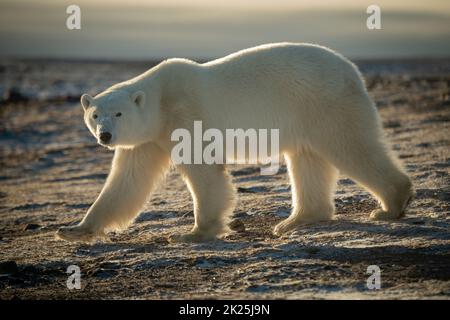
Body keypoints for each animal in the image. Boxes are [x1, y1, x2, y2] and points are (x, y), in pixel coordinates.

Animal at [58, 42, 414, 242]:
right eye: (95, 115)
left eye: (118, 113)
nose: (105, 135)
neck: (161, 101)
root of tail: (352, 69)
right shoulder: (149, 139)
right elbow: (126, 182)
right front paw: (74, 229)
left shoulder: (185, 116)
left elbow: (204, 172)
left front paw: (194, 233)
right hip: (305, 116)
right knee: (307, 160)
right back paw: (295, 221)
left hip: (323, 102)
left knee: (350, 145)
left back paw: (390, 205)